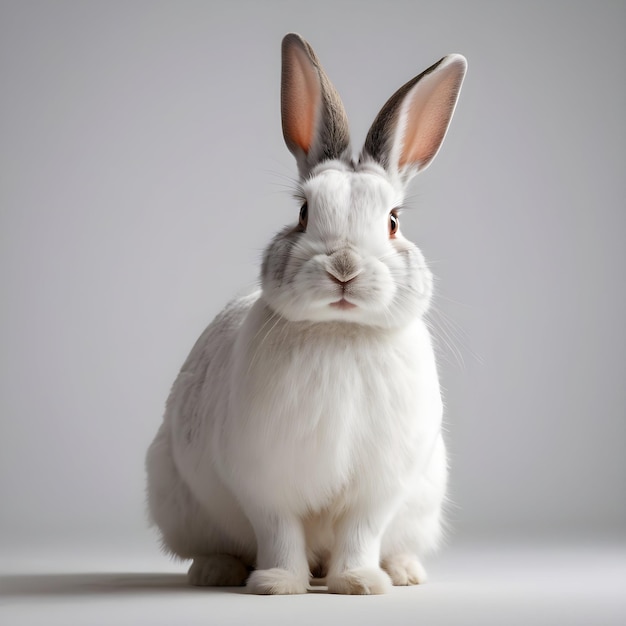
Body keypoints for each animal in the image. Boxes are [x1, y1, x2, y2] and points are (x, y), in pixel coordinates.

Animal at [146, 34, 466, 596]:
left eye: (393, 221)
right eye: (302, 213)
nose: (344, 268)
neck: (340, 331)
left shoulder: (377, 489)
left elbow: (361, 532)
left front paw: (359, 582)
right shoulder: (265, 482)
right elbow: (279, 533)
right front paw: (277, 584)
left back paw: (402, 572)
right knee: (216, 545)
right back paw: (216, 571)